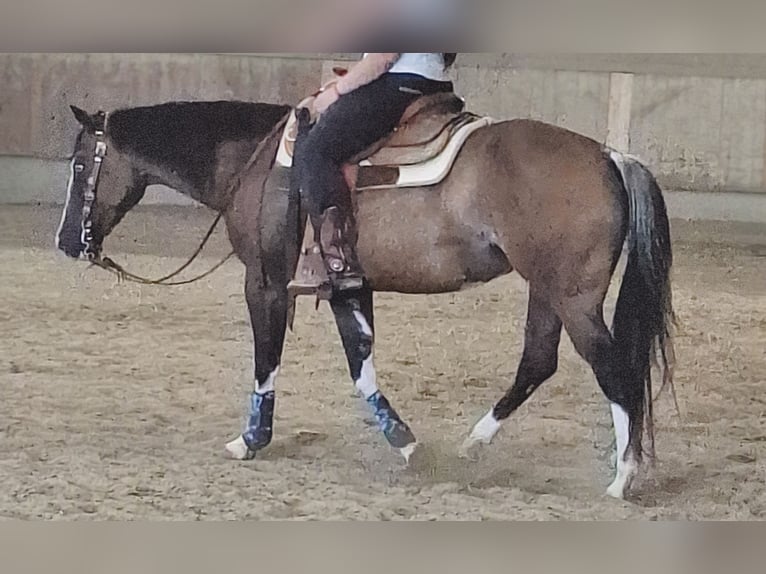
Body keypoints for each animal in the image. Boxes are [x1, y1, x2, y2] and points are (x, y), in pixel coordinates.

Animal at [55, 84, 680, 500]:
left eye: (81, 163)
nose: (65, 242)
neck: (259, 161)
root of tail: (610, 156)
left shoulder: (265, 282)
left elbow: (266, 361)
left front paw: (251, 440)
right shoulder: (344, 286)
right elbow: (361, 366)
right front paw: (405, 443)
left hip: (572, 297)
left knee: (614, 368)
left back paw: (623, 477)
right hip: (548, 292)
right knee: (538, 361)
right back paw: (473, 445)